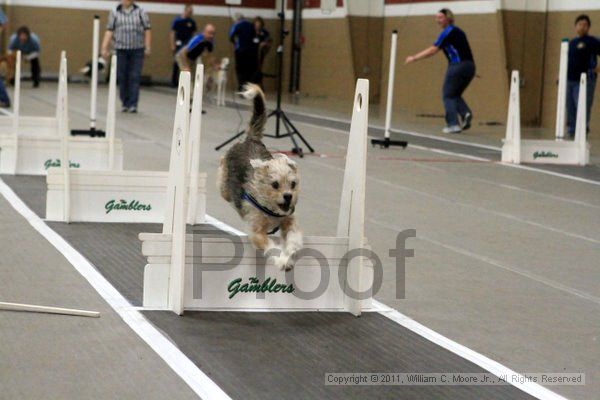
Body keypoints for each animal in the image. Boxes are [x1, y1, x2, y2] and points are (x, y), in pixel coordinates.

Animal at [218, 84, 302, 272]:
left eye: (293, 184)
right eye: (275, 184)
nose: (288, 196)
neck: (271, 209)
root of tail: (251, 139)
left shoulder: (289, 220)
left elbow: (293, 236)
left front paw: (290, 252)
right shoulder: (257, 232)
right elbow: (270, 246)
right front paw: (281, 261)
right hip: (224, 187)